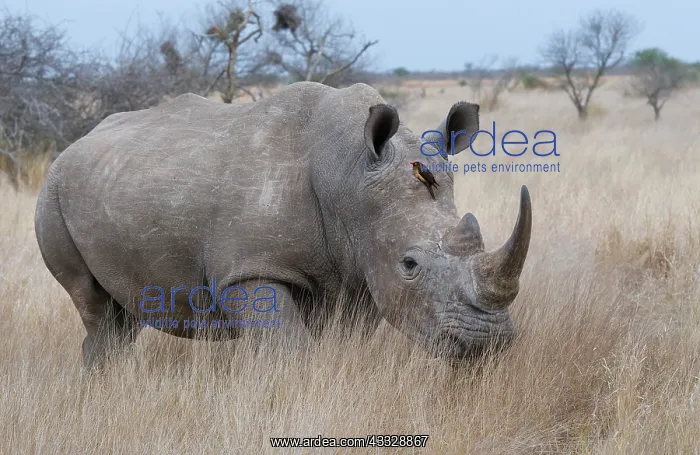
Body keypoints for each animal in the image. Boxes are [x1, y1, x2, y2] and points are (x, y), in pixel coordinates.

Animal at [34, 81, 532, 367]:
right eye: (410, 264)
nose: (487, 344)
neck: (349, 174)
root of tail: (74, 144)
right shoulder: (250, 269)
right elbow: (289, 352)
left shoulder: (362, 267)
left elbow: (344, 346)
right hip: (51, 194)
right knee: (95, 308)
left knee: (124, 312)